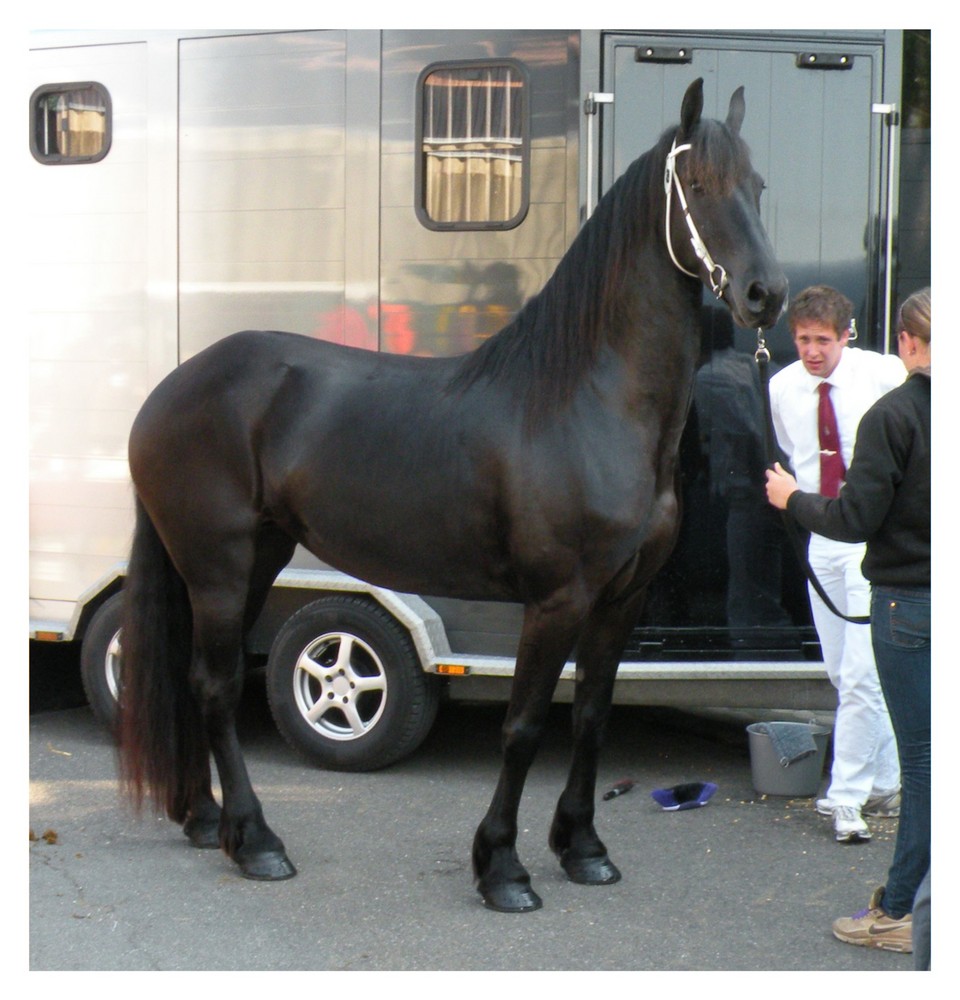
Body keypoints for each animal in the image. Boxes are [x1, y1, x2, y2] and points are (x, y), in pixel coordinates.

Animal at [118, 82, 788, 916]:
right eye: (696, 185)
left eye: (758, 188)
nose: (766, 294)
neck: (589, 400)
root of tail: (170, 390)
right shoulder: (558, 599)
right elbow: (526, 726)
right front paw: (502, 868)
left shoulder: (620, 599)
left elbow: (593, 718)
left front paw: (585, 849)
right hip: (216, 567)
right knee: (213, 688)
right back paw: (259, 843)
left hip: (254, 562)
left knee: (199, 684)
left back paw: (209, 821)